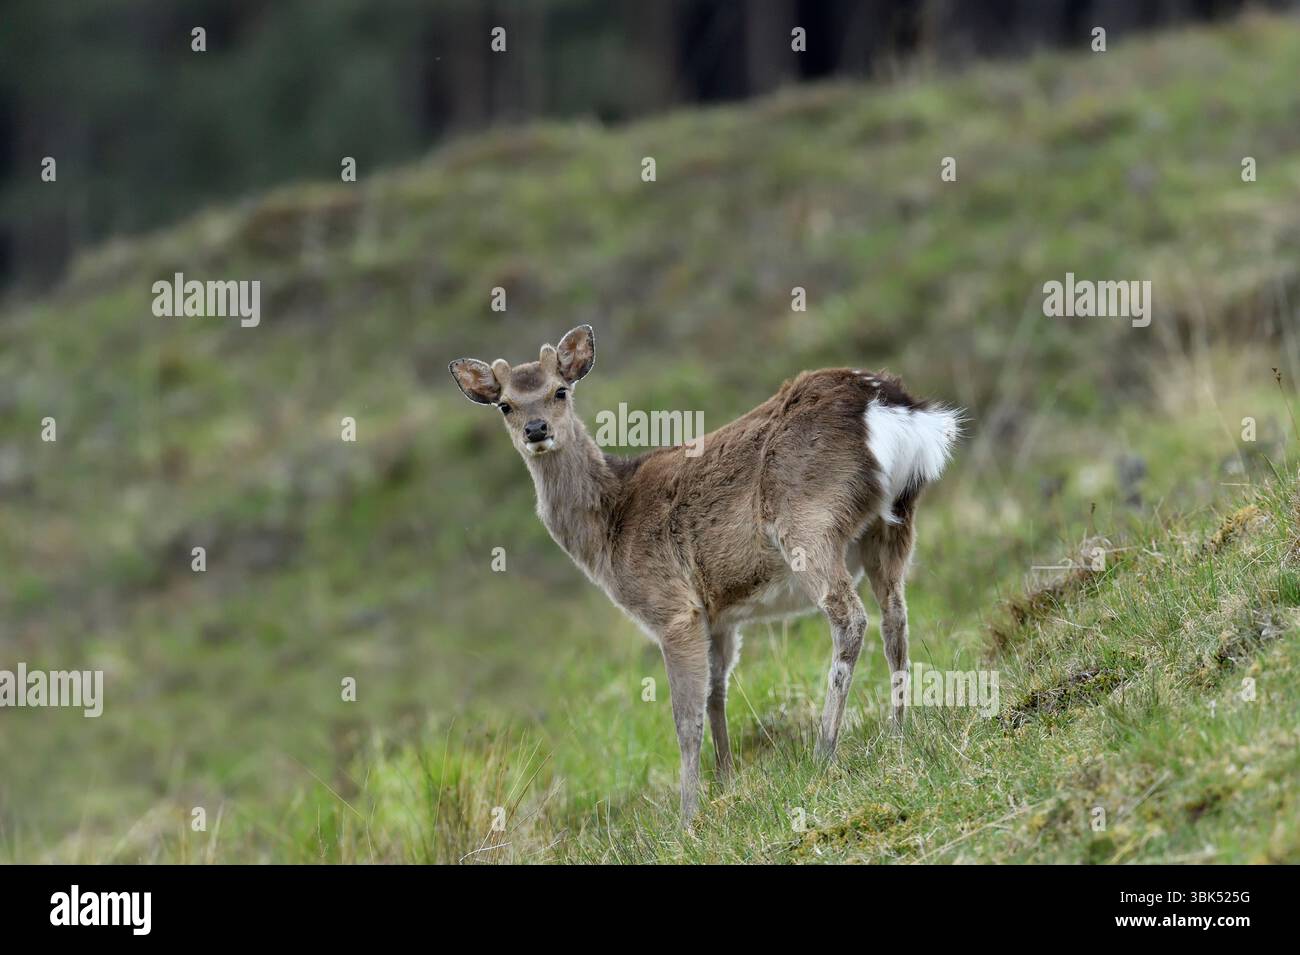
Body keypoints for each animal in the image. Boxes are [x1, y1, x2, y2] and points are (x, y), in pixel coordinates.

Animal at [450, 325, 961, 823]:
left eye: (560, 390)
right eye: (505, 404)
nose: (536, 429)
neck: (610, 529)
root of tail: (892, 407)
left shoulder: (674, 608)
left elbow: (685, 716)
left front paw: (687, 816)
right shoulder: (719, 615)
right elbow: (717, 693)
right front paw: (728, 784)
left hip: (809, 521)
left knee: (850, 617)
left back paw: (824, 751)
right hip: (891, 524)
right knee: (896, 618)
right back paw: (898, 734)